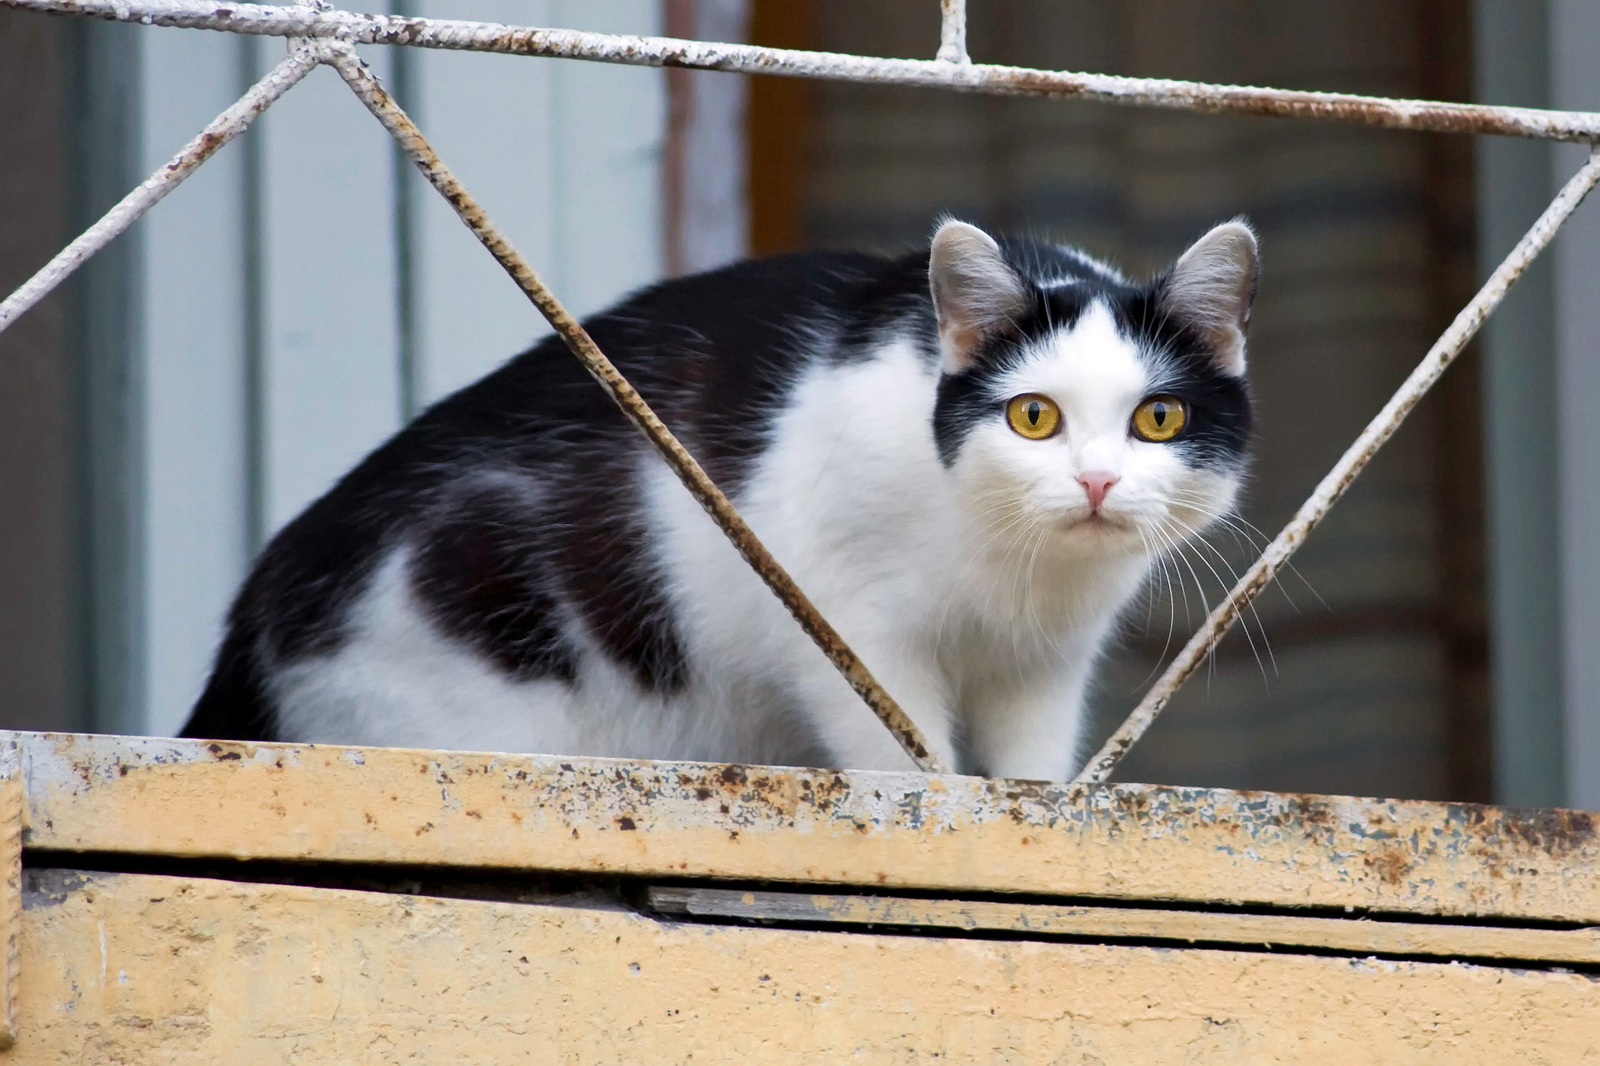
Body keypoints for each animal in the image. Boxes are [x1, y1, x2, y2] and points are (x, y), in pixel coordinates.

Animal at [181, 217, 1254, 781]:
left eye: (1157, 419)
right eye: (1034, 416)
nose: (1097, 481)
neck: (1014, 575)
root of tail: (255, 609)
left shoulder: (1046, 669)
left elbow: (1031, 774)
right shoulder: (847, 619)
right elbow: (897, 751)